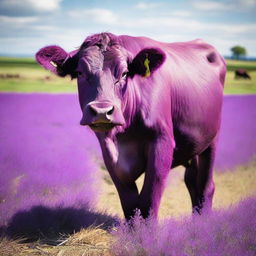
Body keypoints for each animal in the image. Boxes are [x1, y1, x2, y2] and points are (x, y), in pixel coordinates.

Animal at [36, 32, 226, 219]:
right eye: (80, 72)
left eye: (125, 73)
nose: (101, 111)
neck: (126, 133)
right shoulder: (109, 152)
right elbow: (130, 204)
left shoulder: (162, 143)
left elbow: (148, 203)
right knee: (192, 182)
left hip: (212, 140)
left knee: (206, 187)